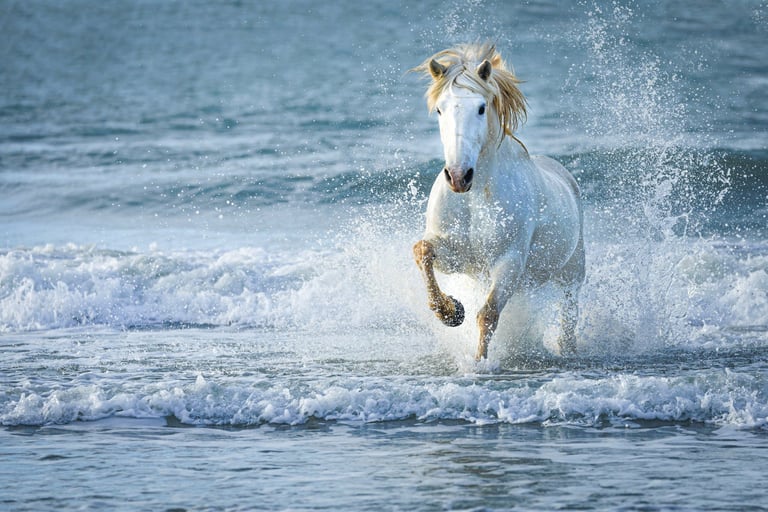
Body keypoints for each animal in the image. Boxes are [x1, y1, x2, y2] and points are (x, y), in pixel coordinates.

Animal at [412, 43, 585, 360]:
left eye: (481, 108)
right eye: (440, 109)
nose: (458, 176)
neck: (475, 196)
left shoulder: (508, 261)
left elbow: (488, 314)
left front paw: (480, 363)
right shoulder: (455, 256)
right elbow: (423, 251)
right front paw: (450, 311)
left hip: (571, 275)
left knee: (568, 317)